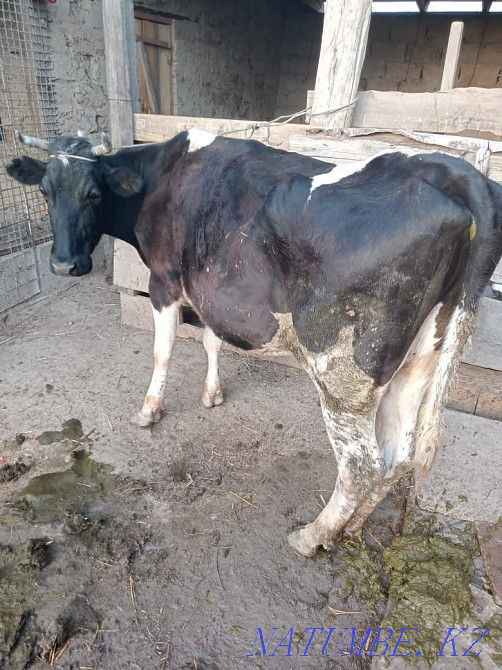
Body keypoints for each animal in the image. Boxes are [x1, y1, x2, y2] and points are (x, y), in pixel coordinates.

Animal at [7, 129, 502, 557]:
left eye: (93, 194)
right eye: (45, 192)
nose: (64, 265)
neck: (162, 176)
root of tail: (457, 172)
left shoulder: (163, 280)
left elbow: (163, 351)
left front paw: (149, 411)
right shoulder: (213, 290)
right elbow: (211, 341)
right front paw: (212, 395)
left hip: (343, 369)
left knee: (362, 462)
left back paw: (313, 536)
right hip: (420, 357)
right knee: (400, 454)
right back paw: (355, 527)